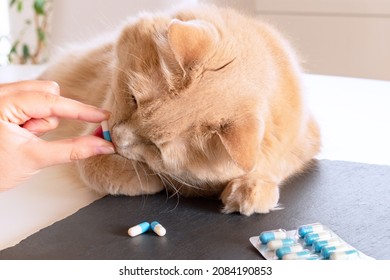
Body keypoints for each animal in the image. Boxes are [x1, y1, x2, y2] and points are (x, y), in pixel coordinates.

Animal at [39, 3, 320, 215]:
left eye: (156, 147)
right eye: (133, 99)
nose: (117, 138)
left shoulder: (304, 141)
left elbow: (277, 165)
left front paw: (251, 188)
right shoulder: (94, 132)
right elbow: (93, 165)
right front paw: (153, 180)